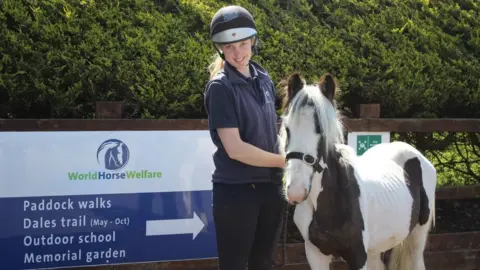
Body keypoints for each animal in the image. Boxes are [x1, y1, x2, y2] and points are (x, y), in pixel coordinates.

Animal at [276, 72, 436, 270]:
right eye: (287, 128)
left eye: (322, 130)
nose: (296, 191)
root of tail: (415, 154)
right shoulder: (315, 253)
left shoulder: (358, 256)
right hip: (376, 248)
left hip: (417, 237)